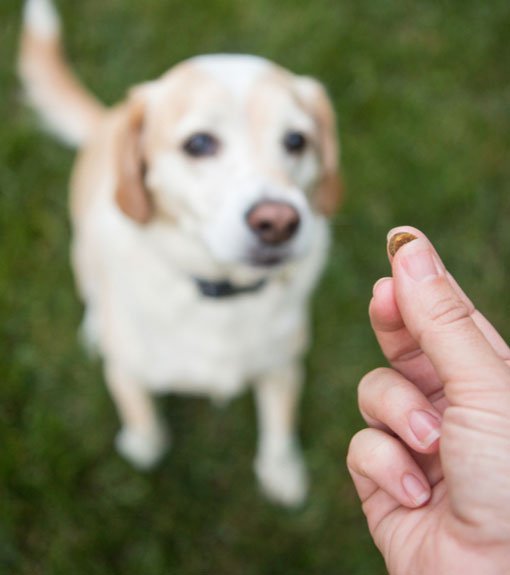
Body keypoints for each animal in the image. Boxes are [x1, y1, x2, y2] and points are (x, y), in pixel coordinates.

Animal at [18, 0, 342, 504]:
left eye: (296, 141)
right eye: (199, 144)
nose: (278, 222)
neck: (219, 293)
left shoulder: (284, 366)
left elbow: (279, 427)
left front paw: (282, 473)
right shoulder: (126, 372)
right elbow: (145, 428)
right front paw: (140, 444)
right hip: (80, 251)